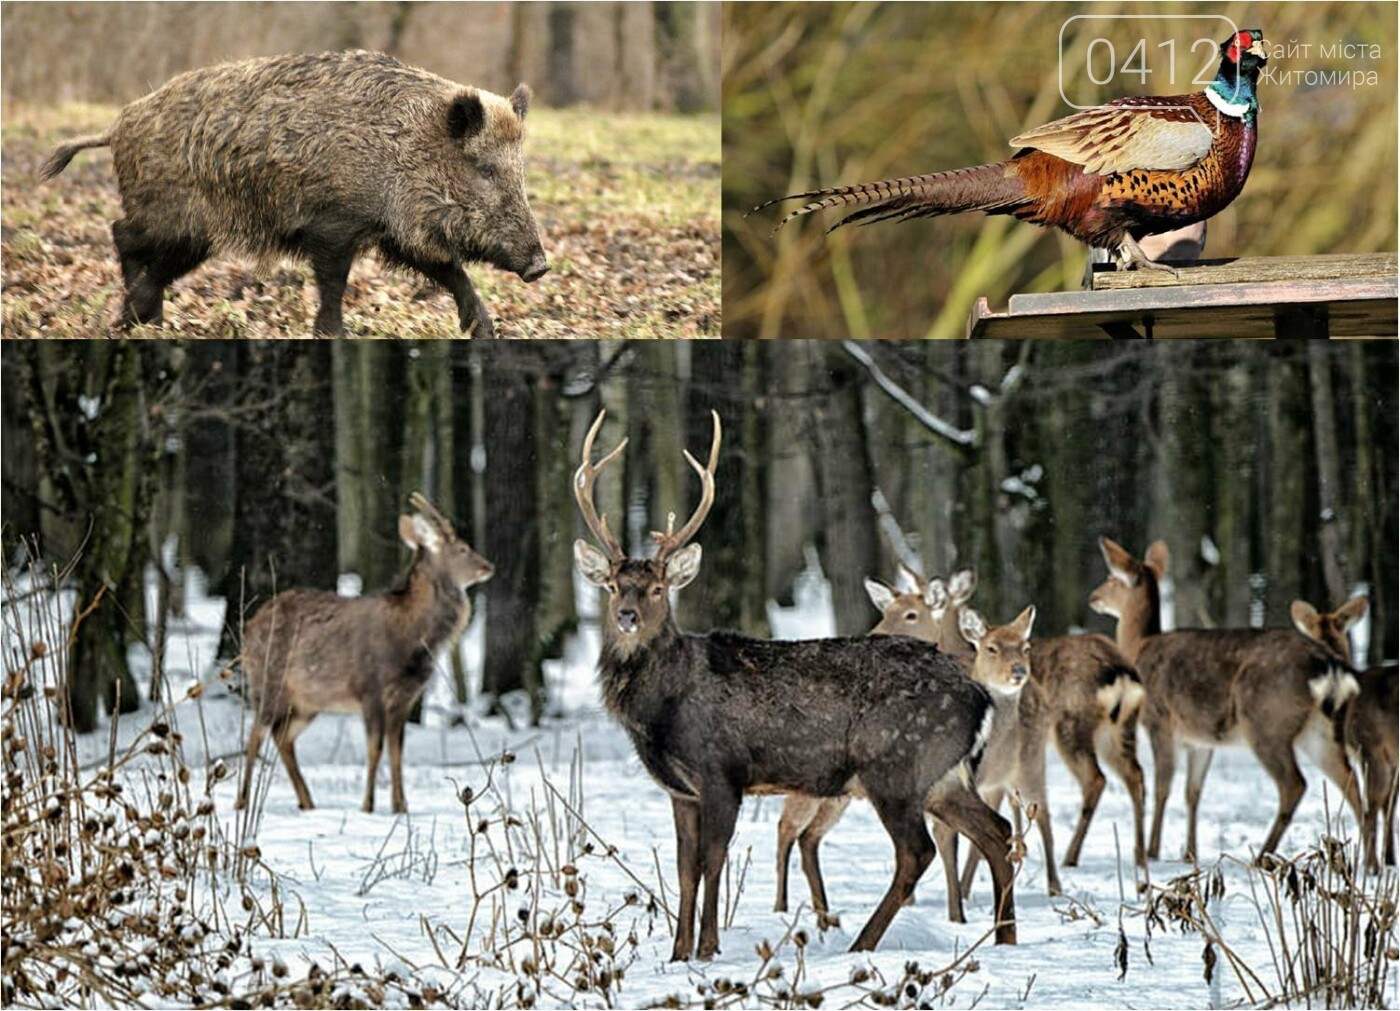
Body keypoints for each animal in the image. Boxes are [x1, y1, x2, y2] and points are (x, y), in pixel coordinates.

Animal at [240, 492, 498, 817]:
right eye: (462, 548)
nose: (488, 566)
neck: (411, 639)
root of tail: (248, 630)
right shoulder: (369, 688)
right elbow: (375, 748)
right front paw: (368, 805)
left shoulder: (405, 698)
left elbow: (397, 750)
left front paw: (401, 806)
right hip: (267, 680)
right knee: (255, 735)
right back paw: (243, 801)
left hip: (307, 700)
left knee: (281, 736)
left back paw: (307, 801)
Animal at [571, 408, 1019, 952]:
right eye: (614, 586)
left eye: (658, 588)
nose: (628, 616)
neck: (665, 708)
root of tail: (979, 695)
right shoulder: (681, 791)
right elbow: (684, 871)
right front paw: (679, 954)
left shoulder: (721, 772)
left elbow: (711, 862)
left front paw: (708, 949)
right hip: (942, 773)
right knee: (997, 831)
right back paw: (1004, 939)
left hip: (896, 762)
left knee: (919, 850)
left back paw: (861, 944)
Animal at [1086, 534, 1360, 856]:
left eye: (1112, 579)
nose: (1093, 597)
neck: (1139, 647)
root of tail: (1329, 665)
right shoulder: (1200, 739)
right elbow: (1193, 793)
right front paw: (1189, 853)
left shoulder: (1159, 720)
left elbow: (1162, 788)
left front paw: (1153, 851)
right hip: (1322, 727)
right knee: (1351, 780)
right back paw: (1370, 858)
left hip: (1266, 718)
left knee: (1295, 783)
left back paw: (1263, 855)